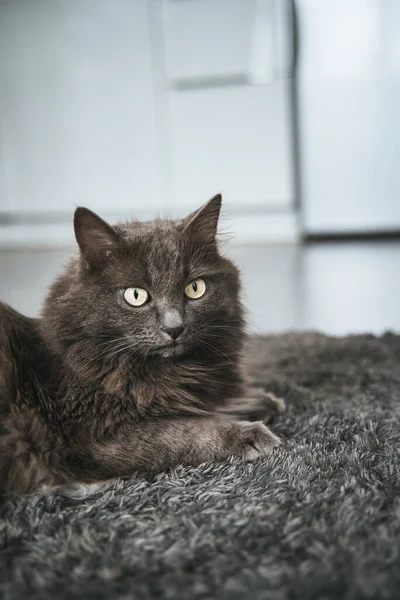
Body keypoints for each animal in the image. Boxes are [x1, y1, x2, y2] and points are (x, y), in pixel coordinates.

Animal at [1, 196, 286, 496]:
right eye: (136, 295)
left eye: (195, 288)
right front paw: (248, 432)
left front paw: (256, 401)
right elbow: (183, 431)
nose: (174, 328)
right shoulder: (93, 437)